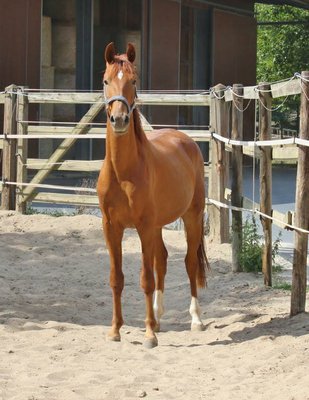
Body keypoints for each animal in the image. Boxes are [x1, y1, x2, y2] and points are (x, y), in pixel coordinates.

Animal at [97, 41, 208, 346]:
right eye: (105, 81)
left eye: (133, 80)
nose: (119, 119)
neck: (123, 172)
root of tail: (186, 141)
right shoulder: (111, 227)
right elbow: (116, 278)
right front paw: (115, 330)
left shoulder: (144, 226)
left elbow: (145, 278)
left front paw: (148, 335)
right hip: (158, 226)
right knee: (163, 260)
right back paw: (158, 318)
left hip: (192, 217)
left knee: (189, 262)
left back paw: (195, 319)